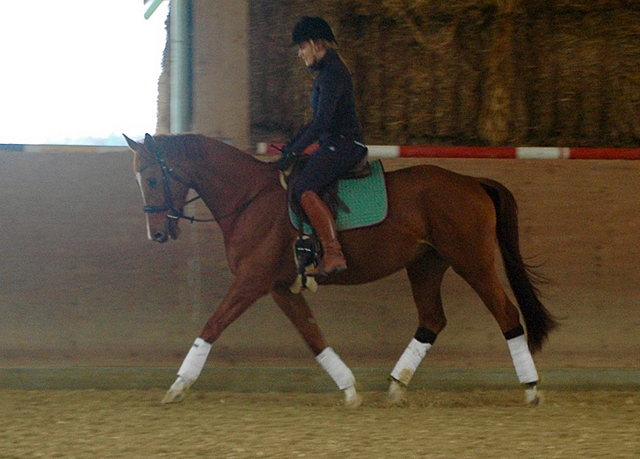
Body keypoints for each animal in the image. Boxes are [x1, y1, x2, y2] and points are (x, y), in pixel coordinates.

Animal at [124, 132, 556, 406]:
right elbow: (313, 336)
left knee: (506, 313)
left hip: (473, 261)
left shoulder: (251, 282)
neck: (250, 198)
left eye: (152, 178)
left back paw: (531, 388)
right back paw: (396, 385)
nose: (157, 233)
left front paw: (178, 385)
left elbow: (212, 326)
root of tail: (471, 181)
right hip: (426, 265)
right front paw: (349, 389)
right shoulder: (279, 286)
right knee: (432, 319)